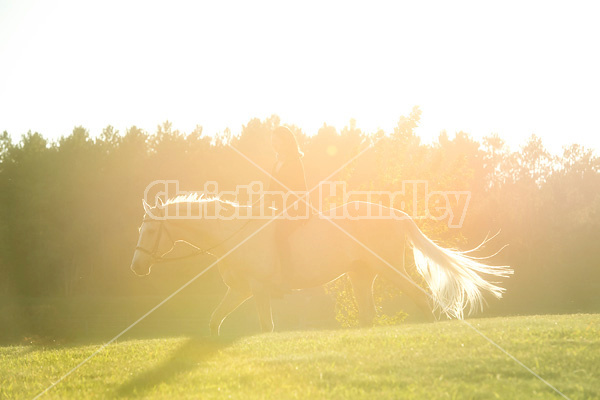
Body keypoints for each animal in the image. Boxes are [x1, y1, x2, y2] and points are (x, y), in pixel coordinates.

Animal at [130, 196, 510, 334]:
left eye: (150, 230)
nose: (136, 267)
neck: (232, 234)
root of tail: (398, 215)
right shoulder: (239, 291)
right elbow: (214, 321)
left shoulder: (257, 290)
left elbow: (266, 326)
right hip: (361, 276)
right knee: (368, 316)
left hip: (388, 269)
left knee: (419, 296)